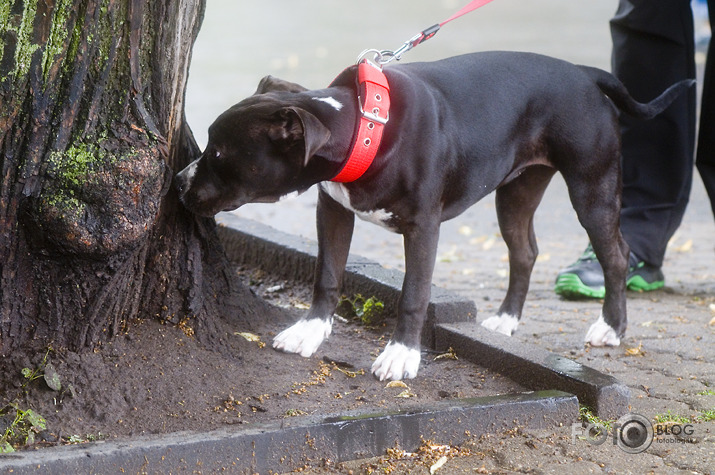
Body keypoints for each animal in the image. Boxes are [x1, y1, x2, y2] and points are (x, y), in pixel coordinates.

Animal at [175, 52, 692, 382]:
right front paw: (310, 331)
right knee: (525, 250)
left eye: (218, 151)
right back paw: (506, 320)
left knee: (616, 253)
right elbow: (327, 274)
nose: (178, 181)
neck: (364, 129)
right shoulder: (333, 209)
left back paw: (611, 328)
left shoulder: (423, 227)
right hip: (517, 190)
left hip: (592, 187)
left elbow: (413, 294)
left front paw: (401, 356)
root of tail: (584, 73)